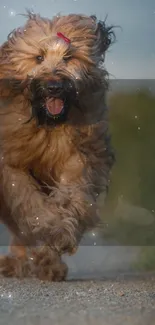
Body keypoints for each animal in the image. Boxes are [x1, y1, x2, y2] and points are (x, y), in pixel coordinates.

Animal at [0, 12, 114, 278]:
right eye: (38, 58)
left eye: (68, 57)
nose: (54, 86)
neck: (48, 125)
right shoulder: (11, 164)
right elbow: (27, 200)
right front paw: (50, 225)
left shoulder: (79, 158)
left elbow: (70, 196)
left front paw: (60, 234)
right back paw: (18, 262)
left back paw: (48, 263)